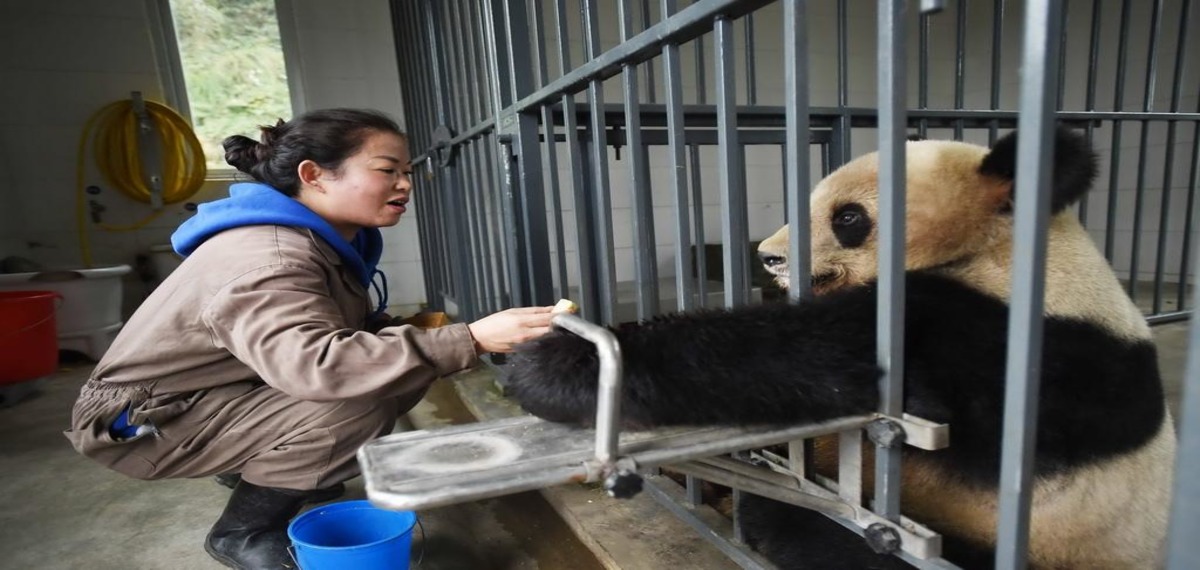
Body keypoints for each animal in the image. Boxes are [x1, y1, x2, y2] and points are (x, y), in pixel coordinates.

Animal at [501, 129, 1176, 570]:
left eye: (848, 217)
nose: (769, 257)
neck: (1000, 247)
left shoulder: (1007, 346)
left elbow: (818, 357)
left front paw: (555, 367)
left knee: (851, 545)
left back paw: (763, 512)